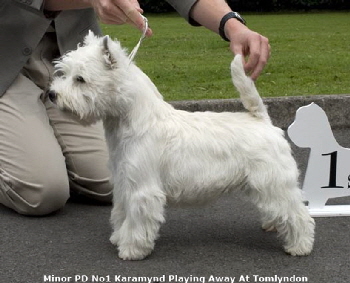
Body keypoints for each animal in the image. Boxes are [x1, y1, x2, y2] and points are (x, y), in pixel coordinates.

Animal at [49, 32, 314, 260]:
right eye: (63, 73)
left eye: (80, 79)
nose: (52, 94)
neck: (133, 120)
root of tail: (262, 120)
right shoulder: (124, 182)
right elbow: (122, 214)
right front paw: (118, 237)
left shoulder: (142, 187)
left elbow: (137, 221)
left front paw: (132, 249)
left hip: (273, 182)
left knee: (298, 214)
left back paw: (299, 246)